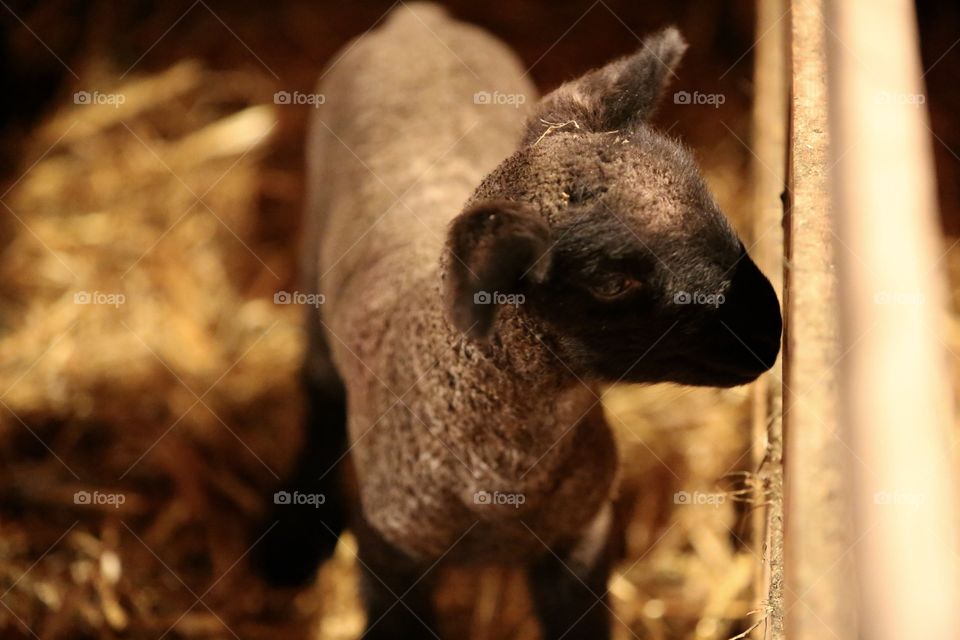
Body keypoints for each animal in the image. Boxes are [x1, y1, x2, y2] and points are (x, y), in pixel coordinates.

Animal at [253, 4, 782, 639]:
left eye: (712, 206)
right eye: (611, 282)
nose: (770, 332)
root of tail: (415, 21)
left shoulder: (581, 540)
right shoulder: (390, 557)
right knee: (319, 385)